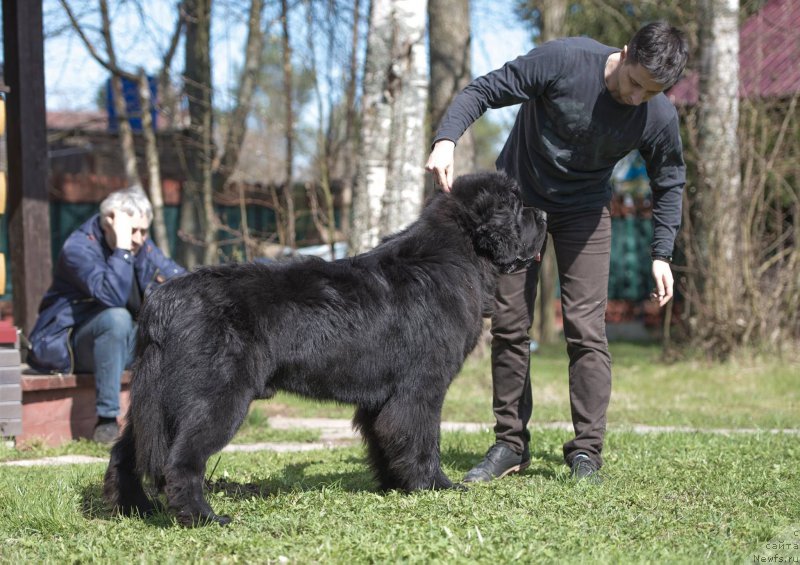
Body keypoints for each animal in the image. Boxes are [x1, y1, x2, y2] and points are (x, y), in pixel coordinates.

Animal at [103, 171, 548, 524]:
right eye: (516, 206)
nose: (543, 215)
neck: (458, 256)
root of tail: (163, 300)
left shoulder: (382, 397)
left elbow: (386, 439)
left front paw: (395, 485)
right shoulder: (420, 388)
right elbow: (421, 438)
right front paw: (435, 485)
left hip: (153, 400)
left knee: (125, 452)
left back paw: (132, 507)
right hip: (214, 397)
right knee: (180, 461)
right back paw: (201, 517)